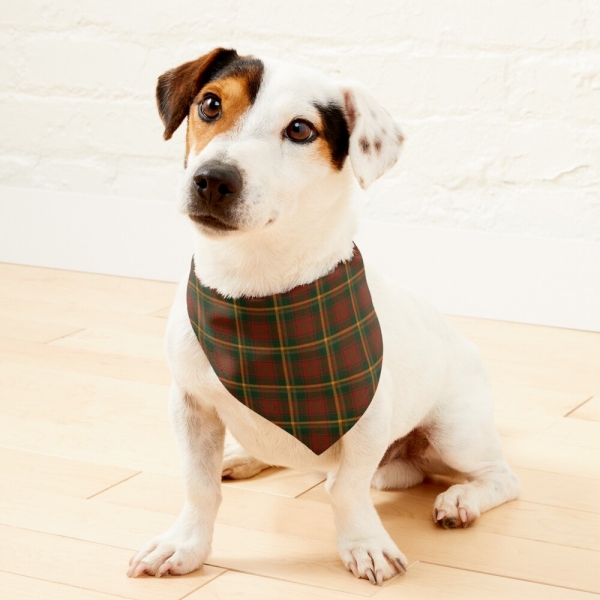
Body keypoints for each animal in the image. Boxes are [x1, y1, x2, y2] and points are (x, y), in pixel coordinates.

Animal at [127, 48, 520, 584]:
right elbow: (199, 485)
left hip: (456, 432)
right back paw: (244, 457)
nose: (212, 179)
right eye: (210, 104)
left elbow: (347, 490)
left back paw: (461, 499)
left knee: (500, 477)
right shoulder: (190, 405)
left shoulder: (367, 420)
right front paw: (185, 545)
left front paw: (365, 545)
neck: (257, 291)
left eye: (299, 130)